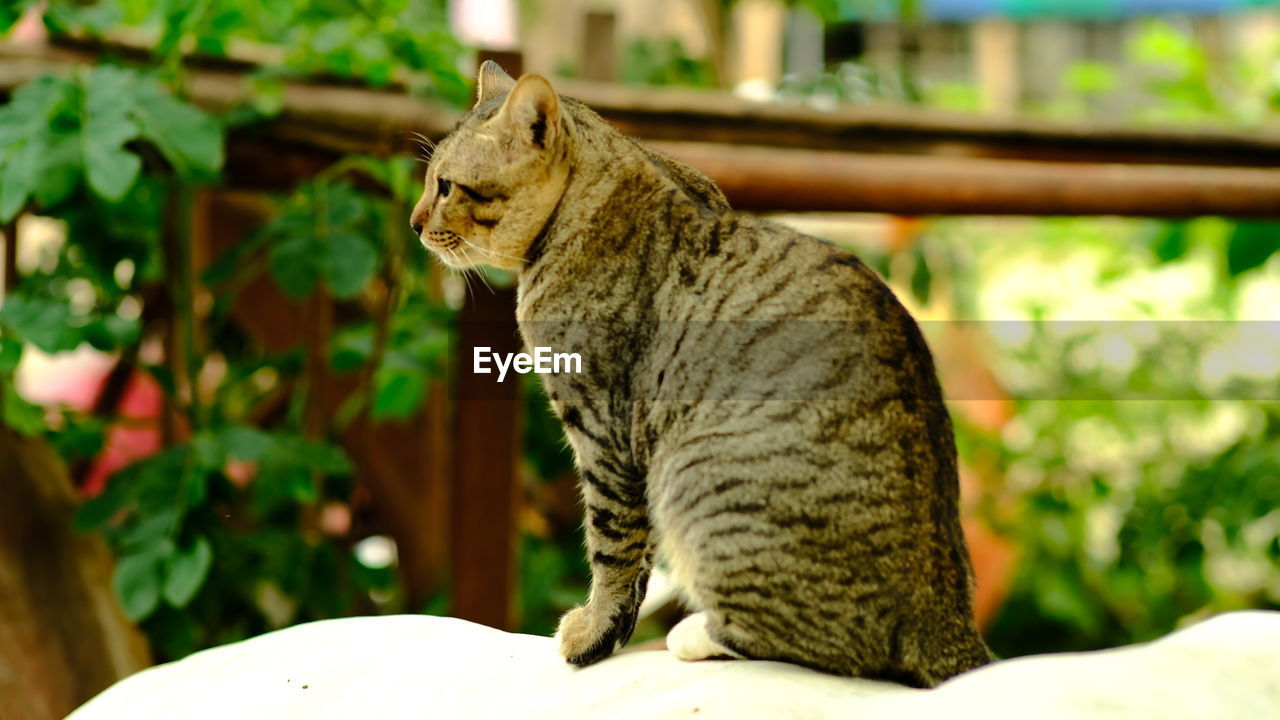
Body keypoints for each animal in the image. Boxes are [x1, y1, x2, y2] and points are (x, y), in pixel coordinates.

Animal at [414, 61, 993, 681]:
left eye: (444, 186)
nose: (415, 221)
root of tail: (947, 619)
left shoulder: (604, 434)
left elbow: (612, 547)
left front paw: (592, 631)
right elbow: (638, 557)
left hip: (695, 477)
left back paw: (695, 634)